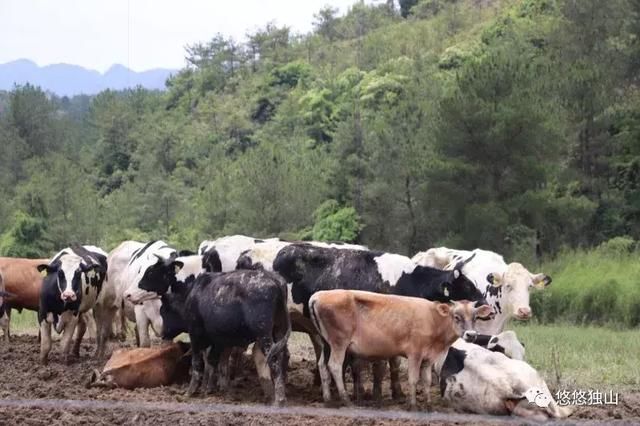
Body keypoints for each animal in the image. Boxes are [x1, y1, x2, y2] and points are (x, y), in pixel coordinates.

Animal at [159, 270, 292, 406]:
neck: (193, 294)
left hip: (264, 334)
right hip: (279, 330)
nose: (162, 333)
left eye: (163, 311)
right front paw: (209, 388)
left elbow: (197, 362)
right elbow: (212, 361)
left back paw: (279, 400)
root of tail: (274, 280)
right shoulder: (219, 340)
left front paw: (191, 391)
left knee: (274, 359)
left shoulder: (195, 335)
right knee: (283, 355)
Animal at [308, 290, 492, 410]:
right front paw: (413, 405)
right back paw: (346, 400)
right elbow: (413, 379)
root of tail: (318, 295)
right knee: (334, 366)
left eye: (475, 317)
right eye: (456, 317)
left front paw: (428, 404)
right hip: (339, 343)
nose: (471, 335)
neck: (433, 319)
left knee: (322, 365)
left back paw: (328, 399)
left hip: (326, 343)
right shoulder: (414, 354)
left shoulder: (428, 358)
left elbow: (426, 380)